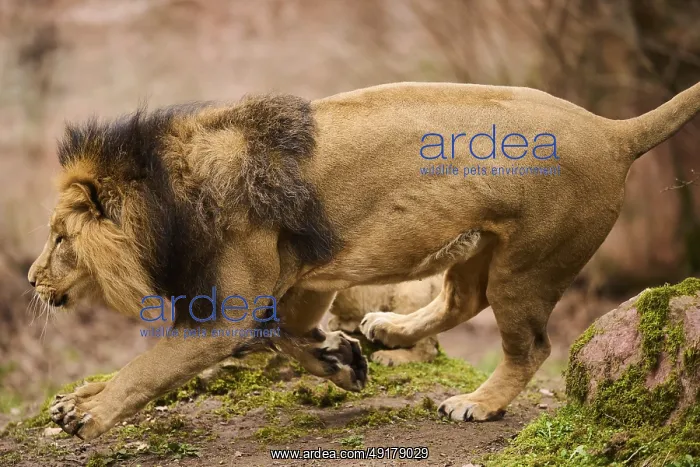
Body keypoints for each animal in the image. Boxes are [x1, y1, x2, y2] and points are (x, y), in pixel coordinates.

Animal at [28, 81, 700, 440]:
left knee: (528, 344)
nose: (31, 279)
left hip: (531, 263)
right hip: (484, 245)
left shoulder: (226, 313)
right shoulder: (302, 281)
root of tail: (614, 131)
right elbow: (286, 336)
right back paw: (386, 330)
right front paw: (342, 359)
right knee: (463, 297)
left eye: (60, 240)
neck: (169, 197)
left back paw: (477, 403)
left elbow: (147, 368)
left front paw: (88, 415)